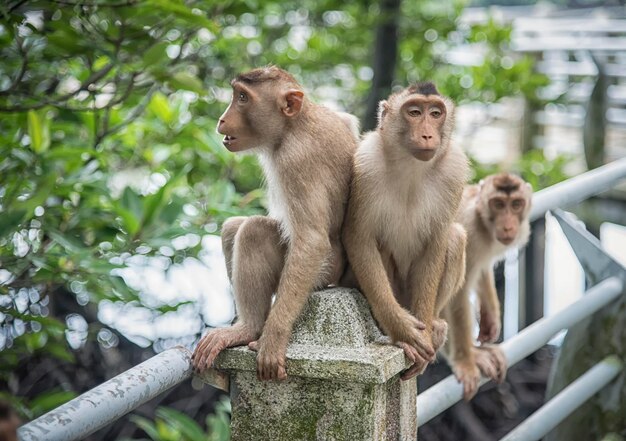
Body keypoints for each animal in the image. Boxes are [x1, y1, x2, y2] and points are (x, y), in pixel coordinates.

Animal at [190, 65, 356, 378]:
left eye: (243, 97)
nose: (222, 118)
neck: (295, 125)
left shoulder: (295, 160)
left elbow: (311, 241)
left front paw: (273, 337)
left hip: (322, 273)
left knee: (254, 231)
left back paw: (250, 328)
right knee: (234, 228)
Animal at [342, 82, 468, 378]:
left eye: (435, 113)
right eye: (414, 112)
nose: (427, 134)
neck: (412, 166)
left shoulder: (454, 169)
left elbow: (437, 241)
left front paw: (424, 331)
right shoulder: (365, 164)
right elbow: (360, 238)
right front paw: (403, 331)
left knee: (455, 237)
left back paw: (435, 325)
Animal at [438, 173, 532, 398]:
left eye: (516, 204)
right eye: (498, 204)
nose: (507, 226)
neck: (482, 223)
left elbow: (483, 270)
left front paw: (491, 319)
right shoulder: (469, 230)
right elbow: (459, 295)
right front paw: (465, 360)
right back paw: (473, 353)